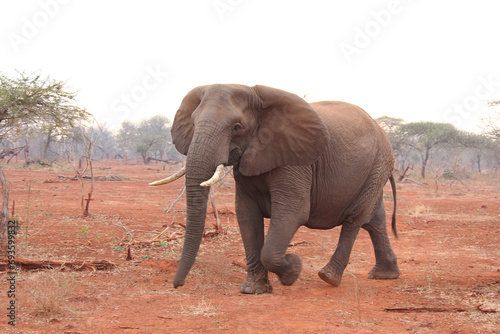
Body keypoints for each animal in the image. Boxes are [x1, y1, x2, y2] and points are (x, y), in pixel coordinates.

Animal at [150, 84, 400, 294]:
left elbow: (293, 212)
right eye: (193, 123)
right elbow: (246, 214)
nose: (177, 285)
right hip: (375, 170)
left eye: (237, 127)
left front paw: (293, 269)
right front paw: (253, 290)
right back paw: (385, 275)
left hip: (377, 164)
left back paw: (328, 277)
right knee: (374, 219)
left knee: (355, 219)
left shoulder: (295, 159)